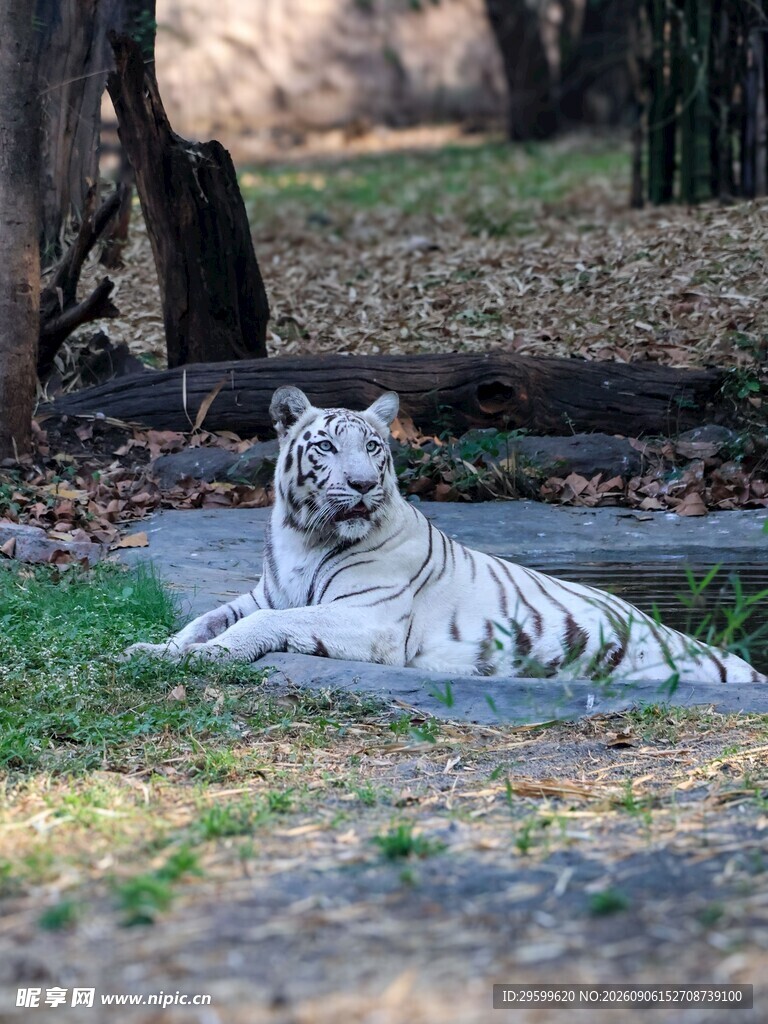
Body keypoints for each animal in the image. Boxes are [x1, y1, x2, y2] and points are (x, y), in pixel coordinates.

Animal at [124, 386, 766, 685]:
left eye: (373, 447)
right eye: (327, 446)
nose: (362, 484)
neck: (302, 535)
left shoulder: (371, 618)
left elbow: (261, 625)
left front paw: (208, 655)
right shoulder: (263, 593)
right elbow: (202, 621)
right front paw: (152, 650)